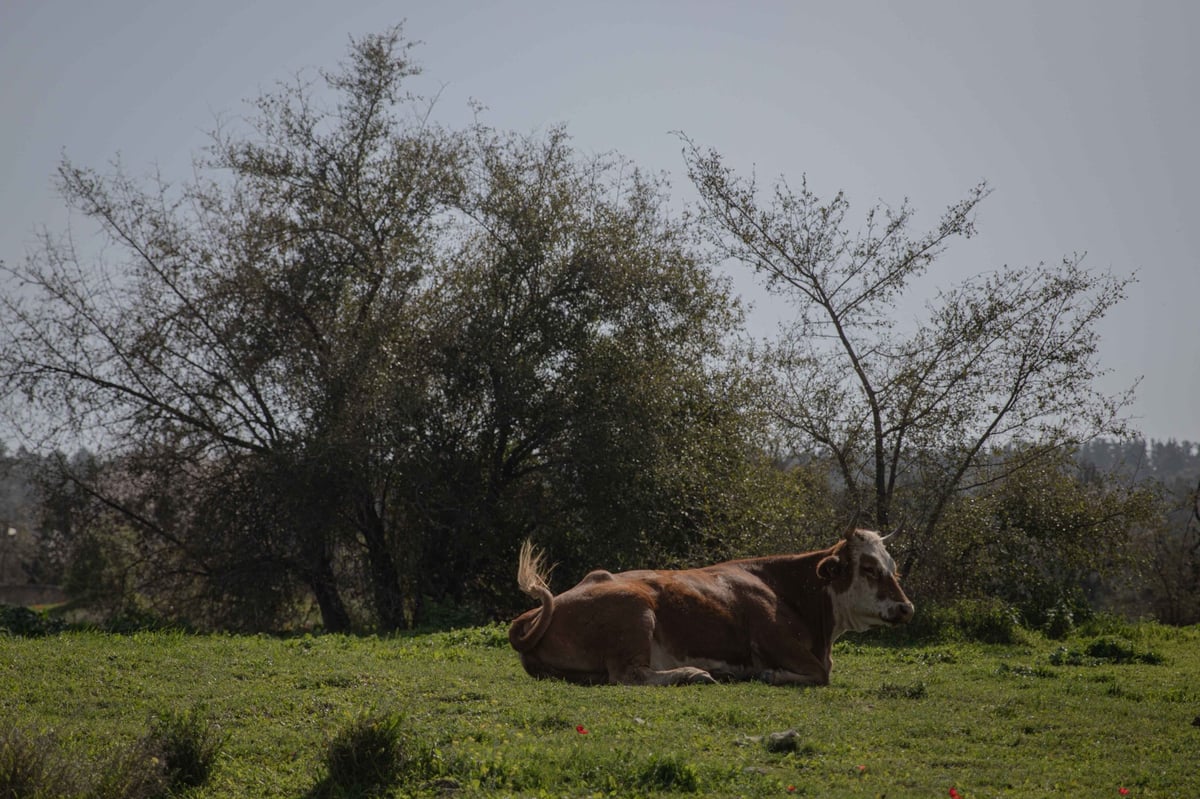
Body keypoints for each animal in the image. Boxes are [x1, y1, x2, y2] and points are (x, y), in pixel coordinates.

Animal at [504, 527, 907, 686]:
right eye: (869, 568)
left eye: (893, 568)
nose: (906, 609)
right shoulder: (773, 637)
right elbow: (821, 674)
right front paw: (770, 674)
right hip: (635, 611)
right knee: (630, 676)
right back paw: (694, 674)